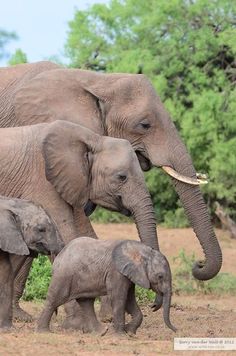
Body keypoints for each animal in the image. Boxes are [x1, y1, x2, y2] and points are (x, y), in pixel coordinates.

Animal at [37, 236, 176, 334]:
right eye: (160, 276)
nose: (176, 330)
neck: (142, 250)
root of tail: (58, 258)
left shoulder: (128, 274)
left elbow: (129, 299)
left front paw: (130, 332)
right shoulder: (116, 272)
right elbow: (119, 298)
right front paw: (121, 335)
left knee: (86, 302)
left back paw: (101, 332)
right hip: (63, 276)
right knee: (54, 300)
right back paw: (44, 332)